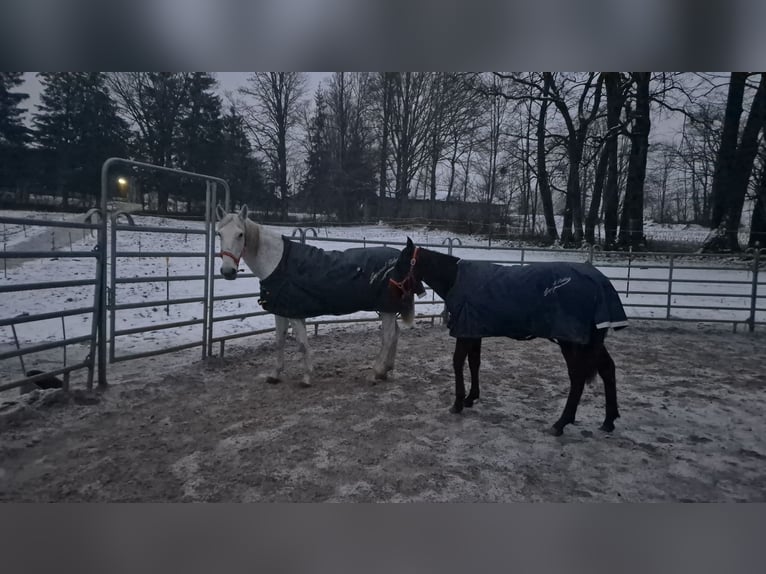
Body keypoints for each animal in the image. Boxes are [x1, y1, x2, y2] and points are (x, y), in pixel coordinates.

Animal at [216, 205, 414, 390]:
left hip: (387, 309)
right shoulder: (280, 311)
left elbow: (302, 344)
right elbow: (279, 341)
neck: (278, 263)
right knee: (395, 334)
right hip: (386, 309)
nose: (228, 272)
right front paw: (275, 375)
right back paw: (385, 371)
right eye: (219, 234)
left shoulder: (295, 313)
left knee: (388, 337)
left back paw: (374, 373)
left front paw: (306, 378)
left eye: (240, 234)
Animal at [390, 238, 632, 436]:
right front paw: (470, 398)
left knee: (578, 378)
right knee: (607, 370)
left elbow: (458, 363)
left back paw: (561, 423)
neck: (456, 279)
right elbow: (474, 363)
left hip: (571, 343)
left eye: (401, 261)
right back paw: (608, 420)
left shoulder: (465, 333)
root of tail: (601, 282)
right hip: (591, 343)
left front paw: (457, 403)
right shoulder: (473, 331)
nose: (390, 286)